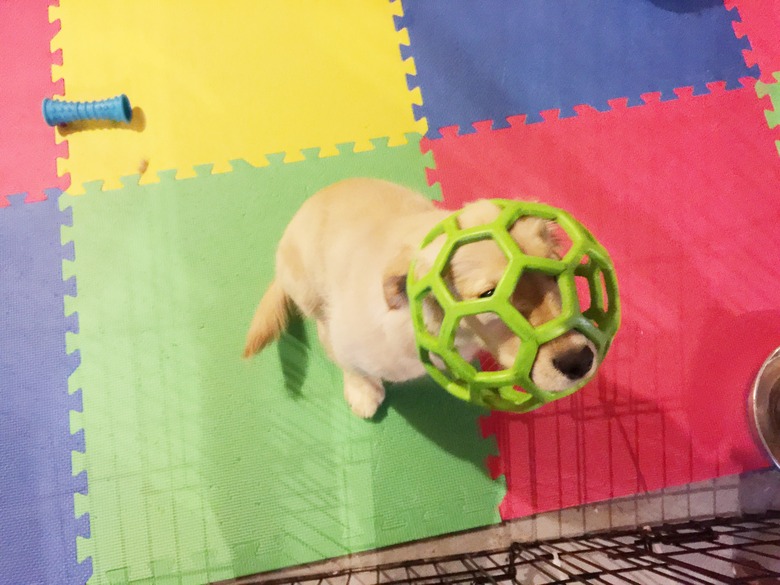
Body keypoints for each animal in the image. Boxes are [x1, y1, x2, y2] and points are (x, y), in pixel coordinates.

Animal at [244, 177, 596, 416]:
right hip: (306, 287)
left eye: (555, 272)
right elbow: (351, 364)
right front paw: (362, 391)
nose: (579, 361)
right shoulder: (348, 343)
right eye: (489, 295)